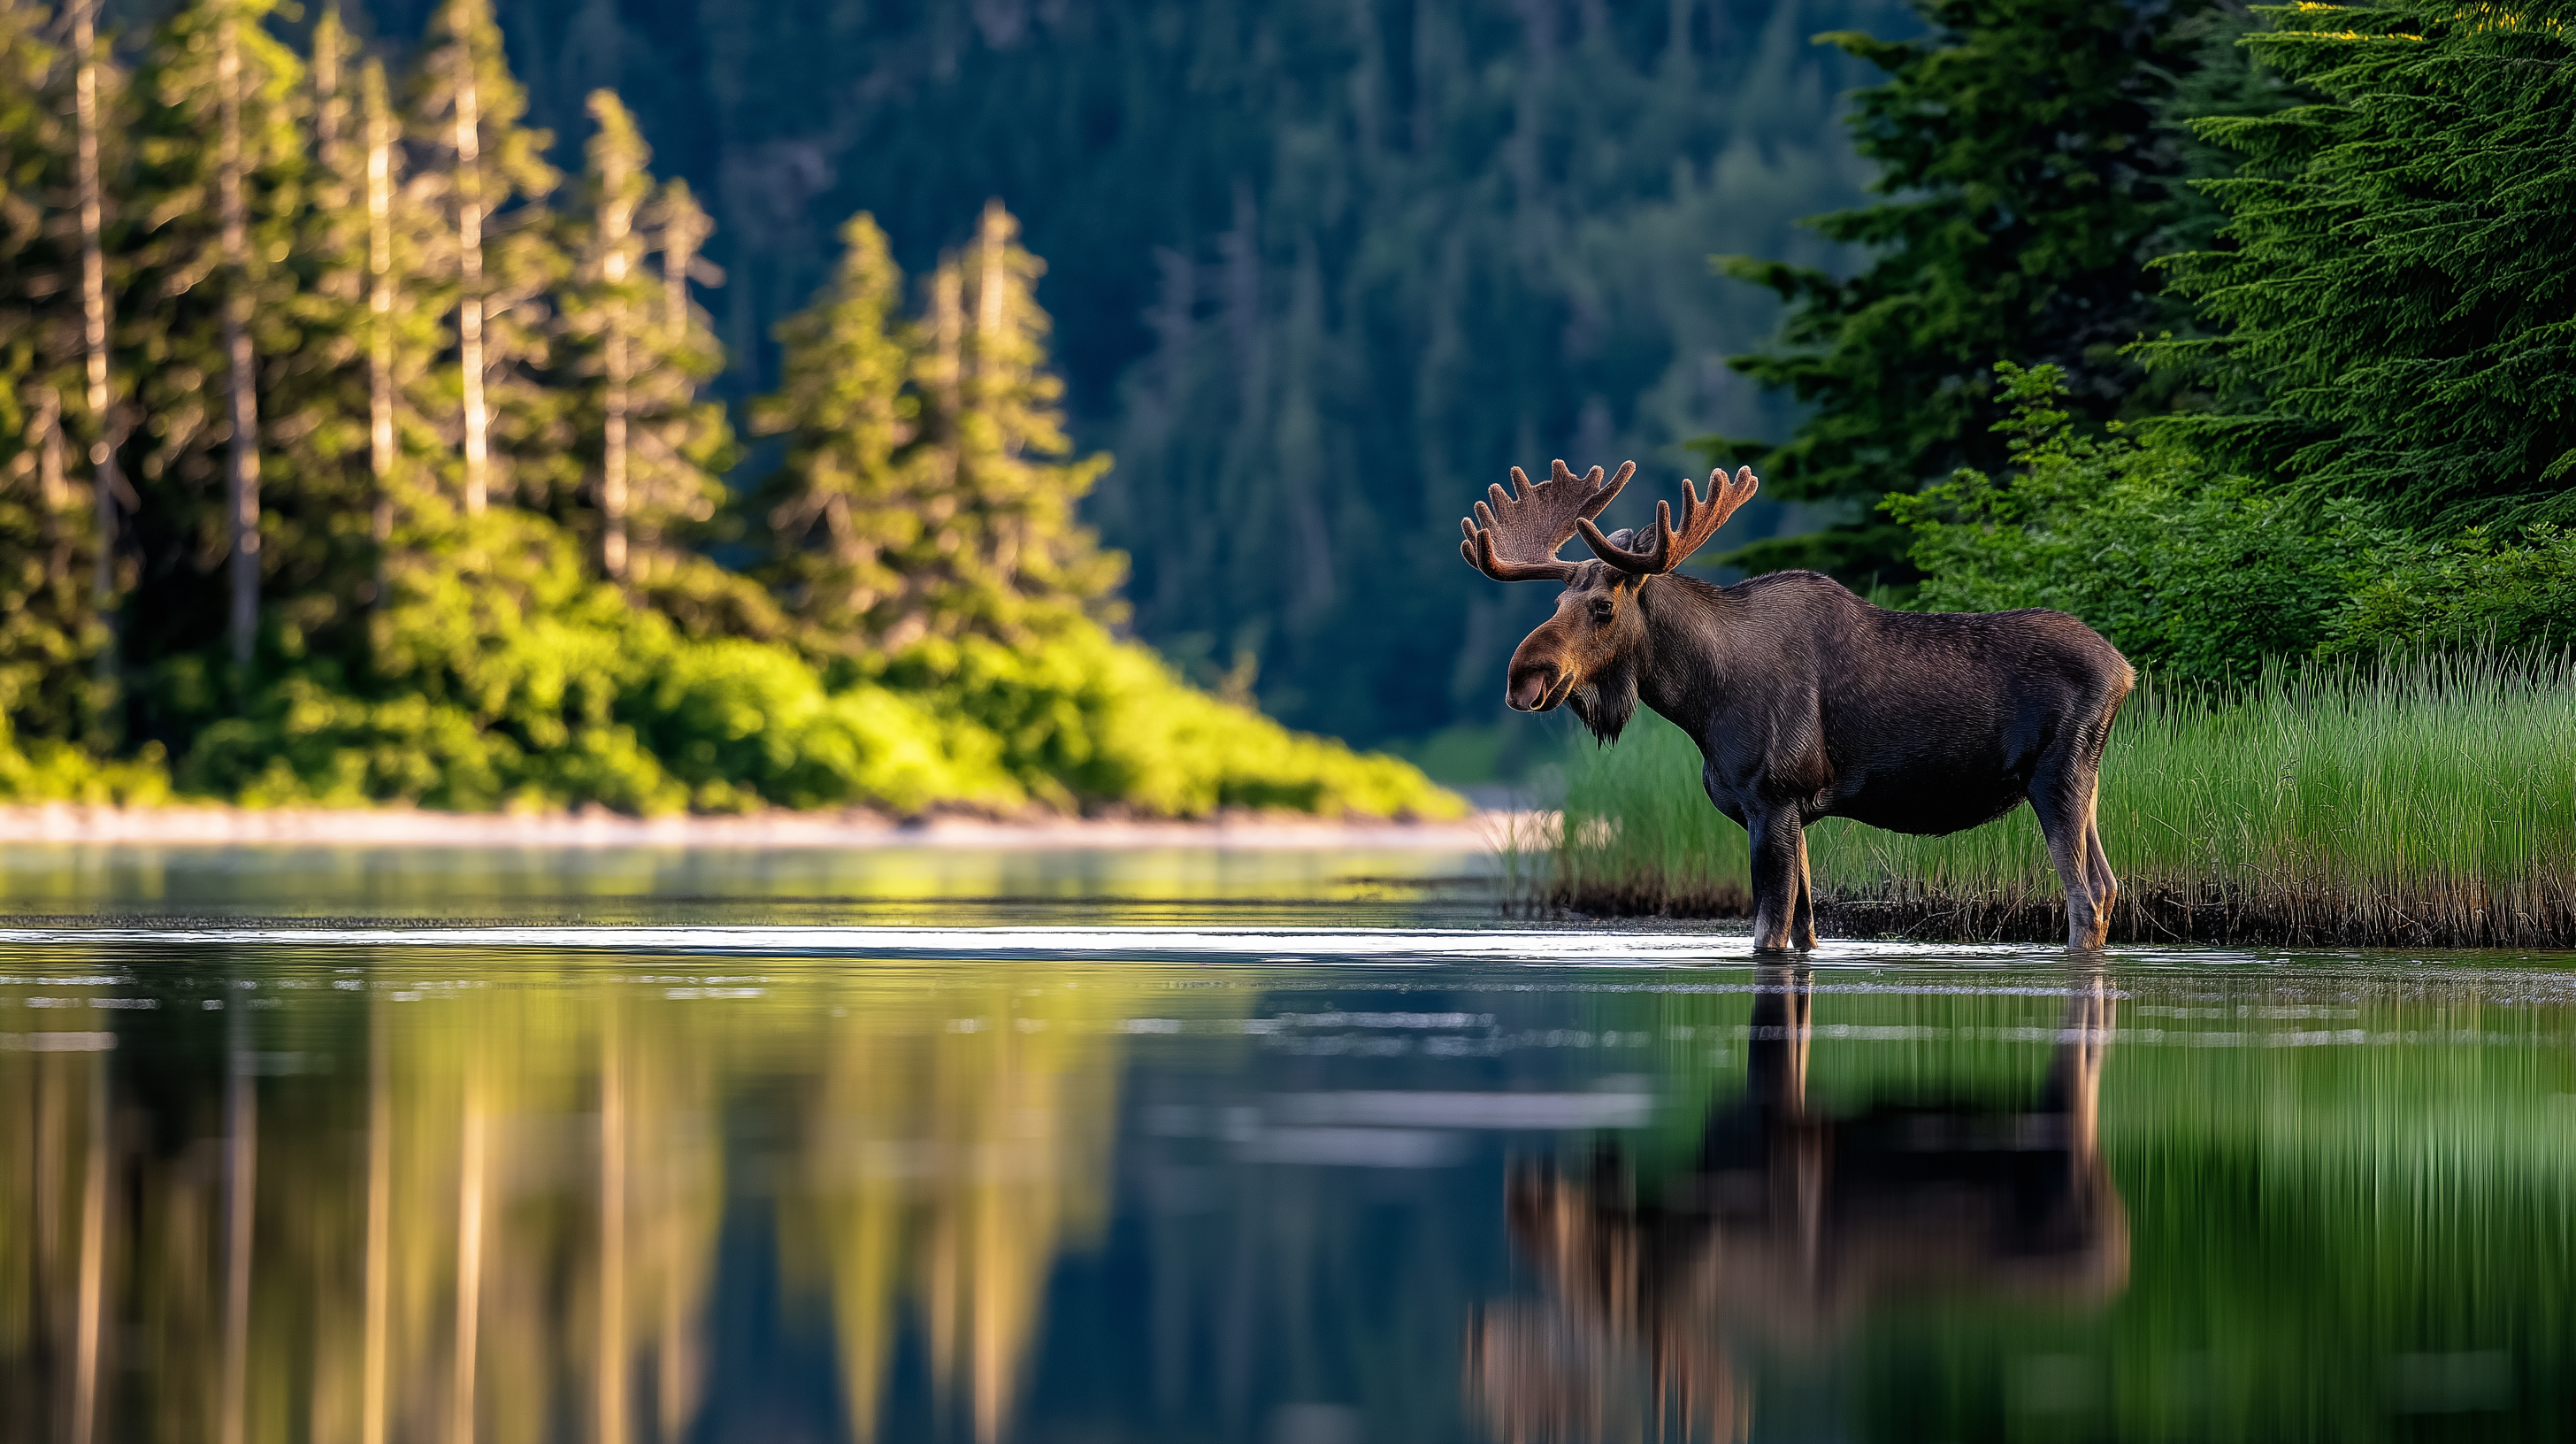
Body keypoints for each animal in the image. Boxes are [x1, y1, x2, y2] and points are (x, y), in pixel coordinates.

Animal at [1459, 460, 2134, 950]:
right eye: (1555, 605)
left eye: (1602, 608)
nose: (1524, 678)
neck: (1702, 701)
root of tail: (2124, 671)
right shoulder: (1792, 813)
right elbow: (1805, 929)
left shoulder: (1773, 799)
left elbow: (1769, 932)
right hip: (2085, 780)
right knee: (2109, 884)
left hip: (2056, 777)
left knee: (2085, 895)